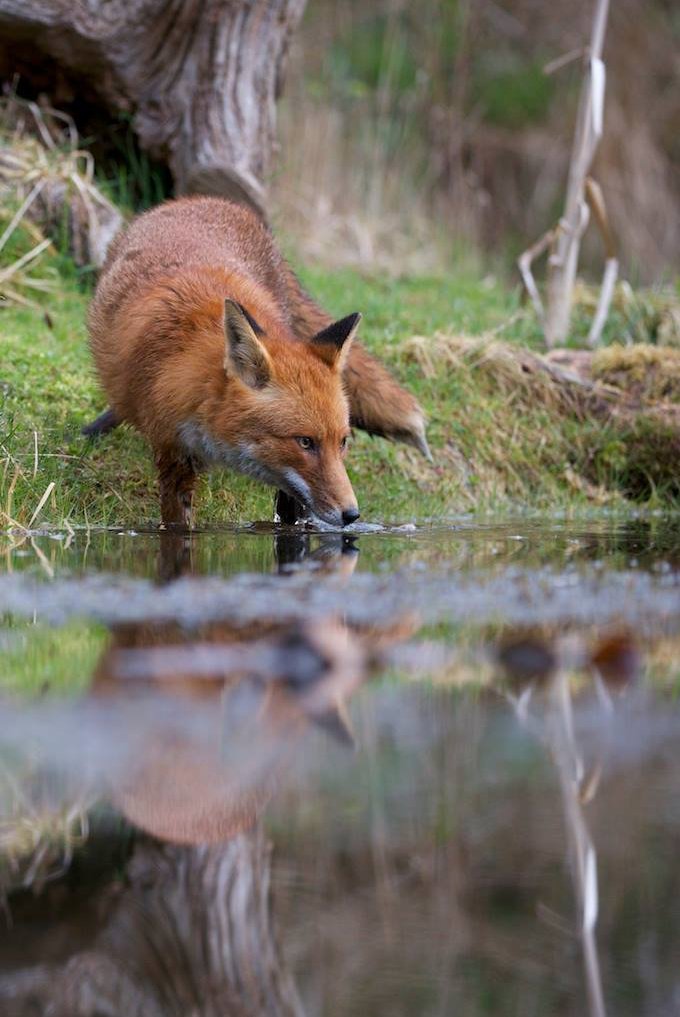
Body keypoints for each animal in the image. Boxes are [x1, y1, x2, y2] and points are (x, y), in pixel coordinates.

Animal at [86, 196, 429, 528]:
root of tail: (204, 200)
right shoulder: (173, 454)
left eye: (343, 442)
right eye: (305, 442)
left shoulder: (291, 488)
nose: (351, 515)